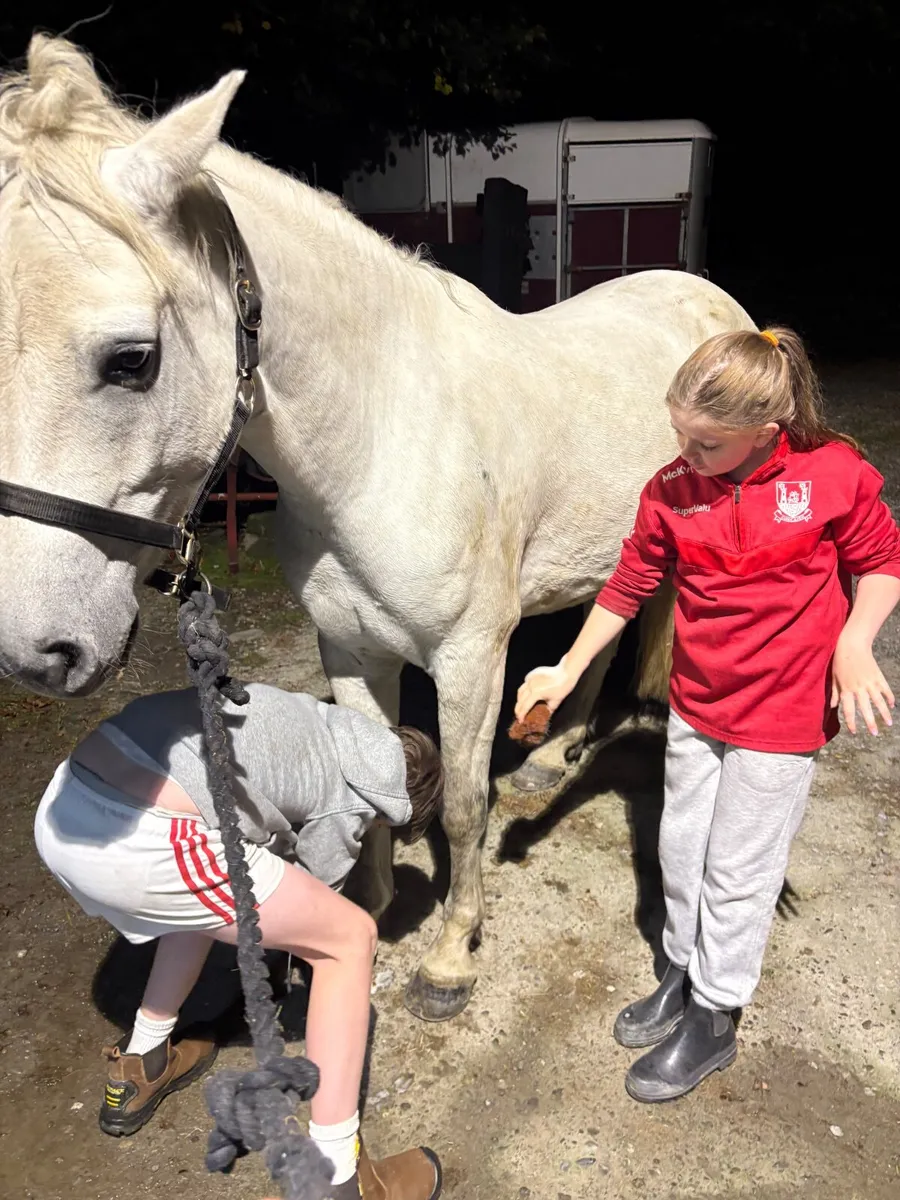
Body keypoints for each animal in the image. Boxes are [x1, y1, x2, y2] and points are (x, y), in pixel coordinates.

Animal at [0, 36, 756, 1022]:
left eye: (132, 358)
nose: (35, 651)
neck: (379, 440)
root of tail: (717, 305)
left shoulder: (471, 657)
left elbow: (465, 804)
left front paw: (450, 958)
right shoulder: (350, 646)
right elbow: (372, 765)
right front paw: (371, 902)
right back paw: (554, 754)